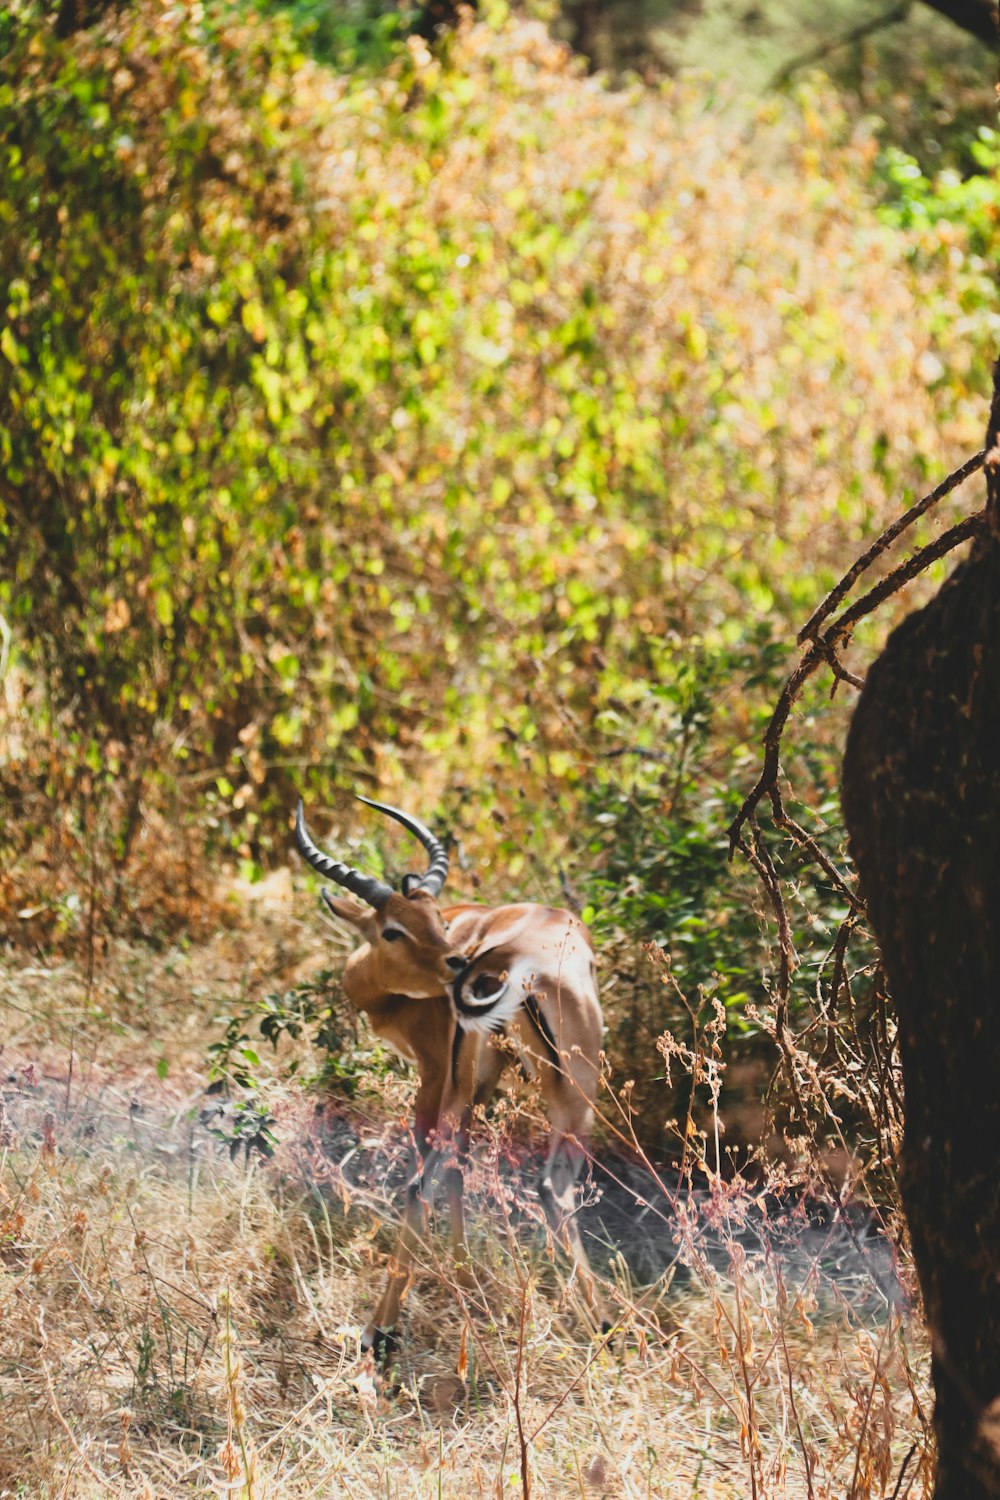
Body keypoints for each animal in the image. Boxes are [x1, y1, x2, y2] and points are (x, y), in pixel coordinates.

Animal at [293, 798, 605, 1362]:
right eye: (393, 928)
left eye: (435, 918)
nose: (454, 961)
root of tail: (510, 958)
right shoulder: (454, 1077)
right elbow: (458, 1167)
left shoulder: (450, 1078)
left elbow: (447, 1169)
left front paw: (459, 1276)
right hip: (570, 1096)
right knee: (545, 1187)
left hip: (516, 1091)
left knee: (426, 1183)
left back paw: (381, 1330)